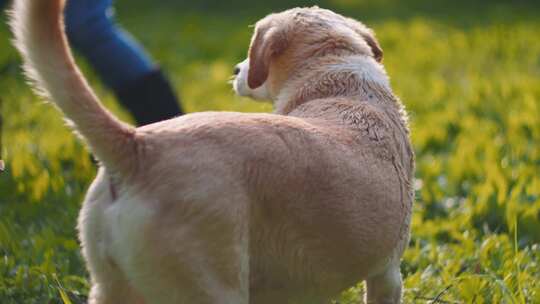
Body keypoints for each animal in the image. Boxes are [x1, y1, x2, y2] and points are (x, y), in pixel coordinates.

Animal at [10, 1, 414, 302]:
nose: (236, 69)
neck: (336, 76)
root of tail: (137, 145)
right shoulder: (387, 275)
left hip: (112, 287)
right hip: (211, 287)